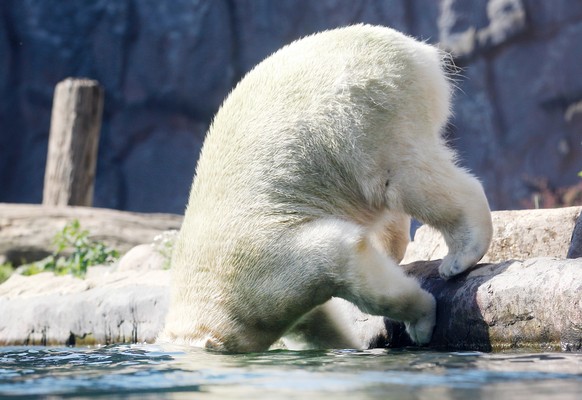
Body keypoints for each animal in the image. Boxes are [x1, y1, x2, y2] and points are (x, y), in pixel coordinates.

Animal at [160, 23, 492, 352]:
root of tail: (418, 51)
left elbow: (339, 255)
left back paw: (460, 255)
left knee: (404, 180)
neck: (206, 283)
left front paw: (420, 322)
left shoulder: (263, 266)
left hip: (365, 115)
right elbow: (316, 321)